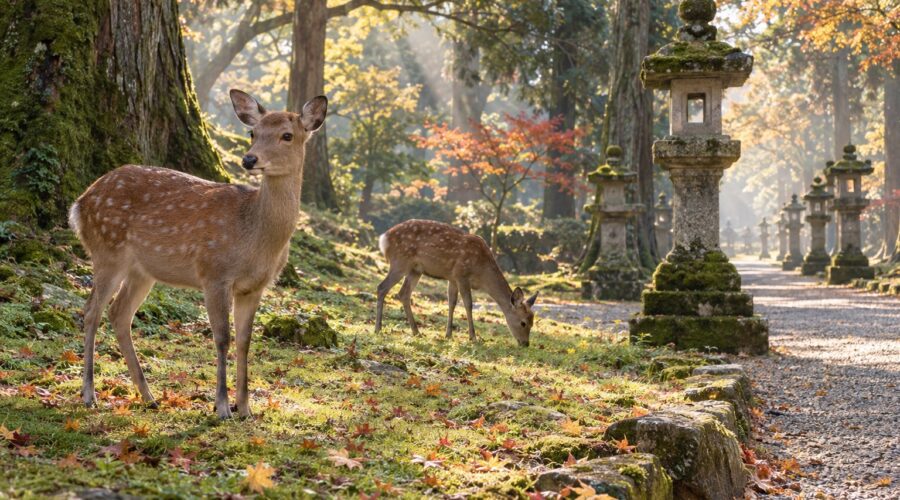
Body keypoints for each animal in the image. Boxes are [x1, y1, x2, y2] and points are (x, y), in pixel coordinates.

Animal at [68, 89, 327, 419]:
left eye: (287, 135)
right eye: (252, 133)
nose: (249, 159)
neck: (257, 238)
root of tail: (80, 203)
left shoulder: (254, 287)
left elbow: (244, 341)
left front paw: (245, 408)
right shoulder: (214, 273)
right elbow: (222, 338)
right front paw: (222, 407)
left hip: (142, 270)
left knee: (119, 313)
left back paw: (149, 396)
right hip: (107, 251)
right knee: (91, 310)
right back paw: (89, 394)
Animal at [374, 219, 537, 347]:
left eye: (532, 322)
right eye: (523, 322)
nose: (526, 343)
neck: (482, 273)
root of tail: (384, 238)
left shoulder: (452, 278)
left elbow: (451, 302)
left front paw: (448, 335)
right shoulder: (461, 275)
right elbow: (468, 304)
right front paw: (473, 337)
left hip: (415, 270)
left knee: (403, 293)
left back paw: (416, 332)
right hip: (400, 261)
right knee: (382, 287)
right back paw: (378, 328)